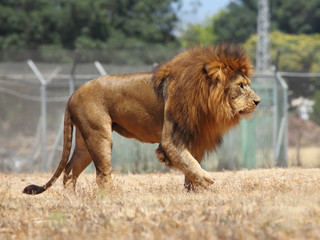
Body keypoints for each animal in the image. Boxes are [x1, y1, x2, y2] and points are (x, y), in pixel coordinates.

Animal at [24, 43, 260, 194]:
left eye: (247, 84)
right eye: (241, 86)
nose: (258, 101)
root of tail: (72, 95)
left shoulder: (194, 138)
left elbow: (189, 168)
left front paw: (194, 192)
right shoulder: (171, 140)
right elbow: (190, 163)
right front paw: (208, 181)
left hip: (84, 142)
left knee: (70, 171)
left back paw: (71, 200)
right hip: (99, 136)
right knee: (101, 175)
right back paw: (112, 199)